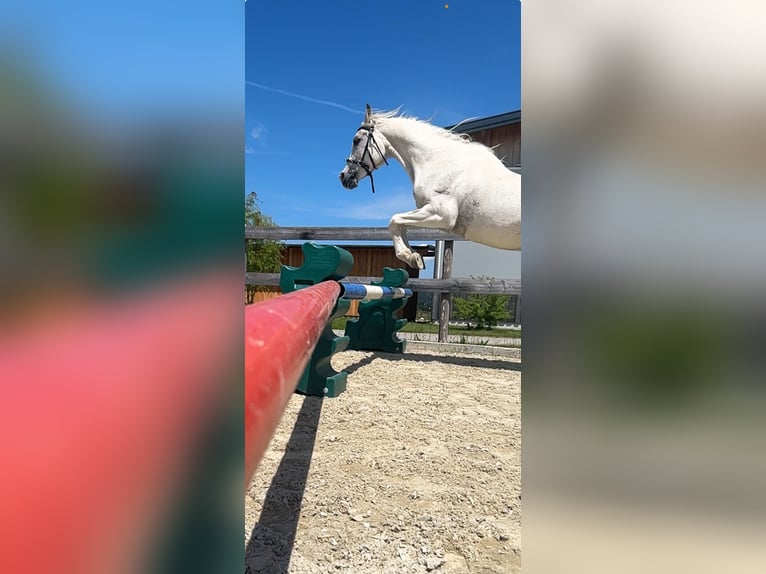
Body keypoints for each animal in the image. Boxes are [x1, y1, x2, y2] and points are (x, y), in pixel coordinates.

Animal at [340, 105, 520, 270]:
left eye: (356, 140)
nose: (343, 177)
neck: (441, 163)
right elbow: (400, 224)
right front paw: (414, 256)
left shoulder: (442, 215)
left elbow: (395, 220)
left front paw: (410, 256)